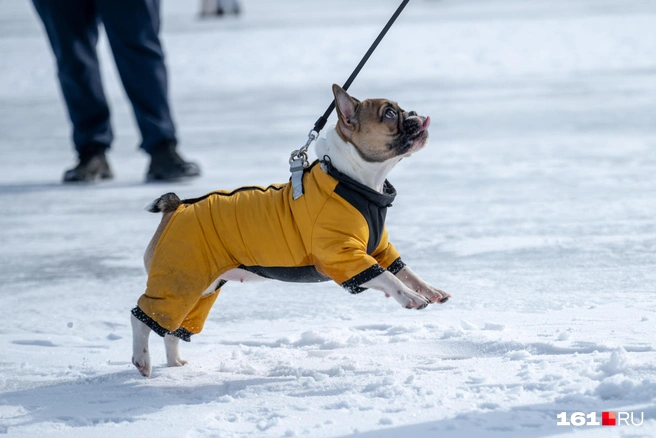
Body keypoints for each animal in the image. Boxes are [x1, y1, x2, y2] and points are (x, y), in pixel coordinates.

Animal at [133, 84, 452, 376]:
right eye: (389, 114)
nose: (414, 114)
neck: (352, 181)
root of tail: (177, 207)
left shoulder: (379, 249)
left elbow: (405, 271)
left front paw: (429, 290)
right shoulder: (343, 257)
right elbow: (387, 276)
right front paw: (409, 297)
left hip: (202, 287)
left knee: (173, 325)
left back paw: (175, 363)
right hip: (179, 277)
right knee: (144, 315)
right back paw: (142, 361)